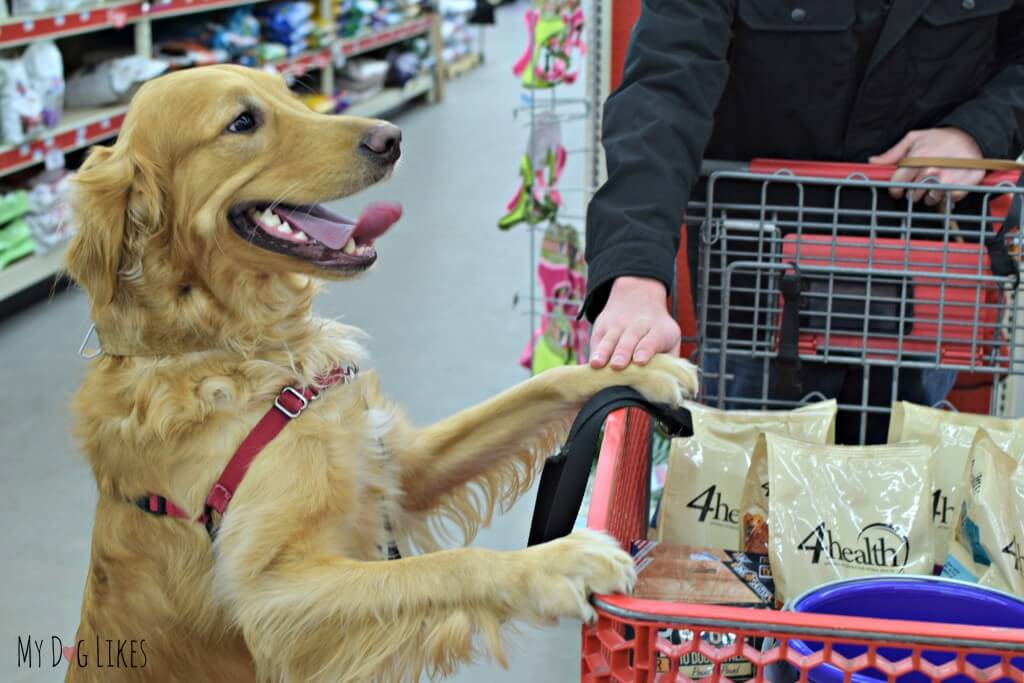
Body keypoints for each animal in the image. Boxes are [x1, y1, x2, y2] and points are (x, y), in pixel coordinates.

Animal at [61, 62, 696, 679]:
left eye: (290, 92)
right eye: (242, 121)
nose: (390, 138)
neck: (243, 349)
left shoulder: (400, 466)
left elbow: (537, 387)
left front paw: (639, 366)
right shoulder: (270, 594)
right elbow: (445, 566)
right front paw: (555, 563)